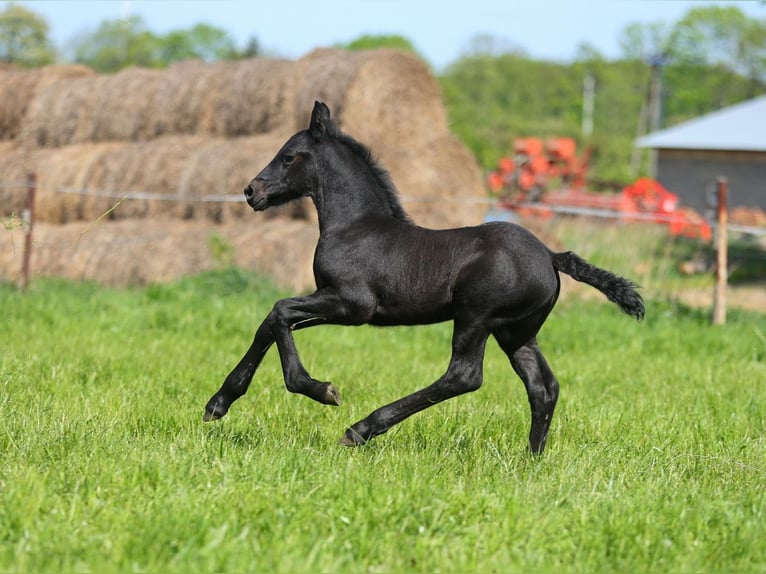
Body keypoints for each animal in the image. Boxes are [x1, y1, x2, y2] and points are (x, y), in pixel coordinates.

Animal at [202, 102, 640, 454]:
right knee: (543, 387)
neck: (354, 226)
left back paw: (360, 429)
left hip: (476, 318)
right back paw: (531, 458)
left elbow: (278, 312)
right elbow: (271, 322)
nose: (251, 191)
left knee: (463, 376)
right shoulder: (329, 301)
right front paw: (218, 403)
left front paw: (320, 390)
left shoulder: (352, 305)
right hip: (516, 332)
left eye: (289, 156)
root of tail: (550, 255)